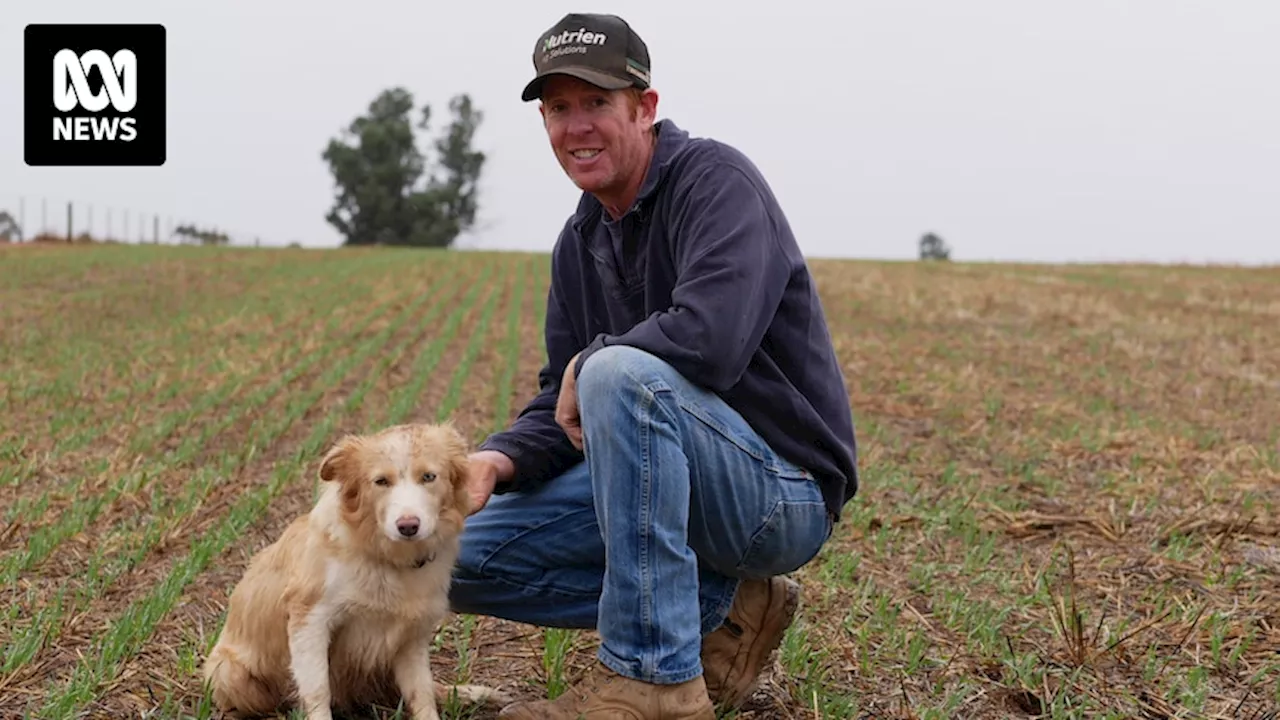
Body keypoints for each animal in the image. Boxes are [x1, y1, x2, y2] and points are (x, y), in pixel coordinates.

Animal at [202, 420, 506, 717]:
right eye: (381, 481)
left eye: (429, 477)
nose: (408, 526)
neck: (387, 559)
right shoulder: (309, 620)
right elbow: (318, 691)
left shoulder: (412, 634)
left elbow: (422, 693)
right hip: (229, 673)